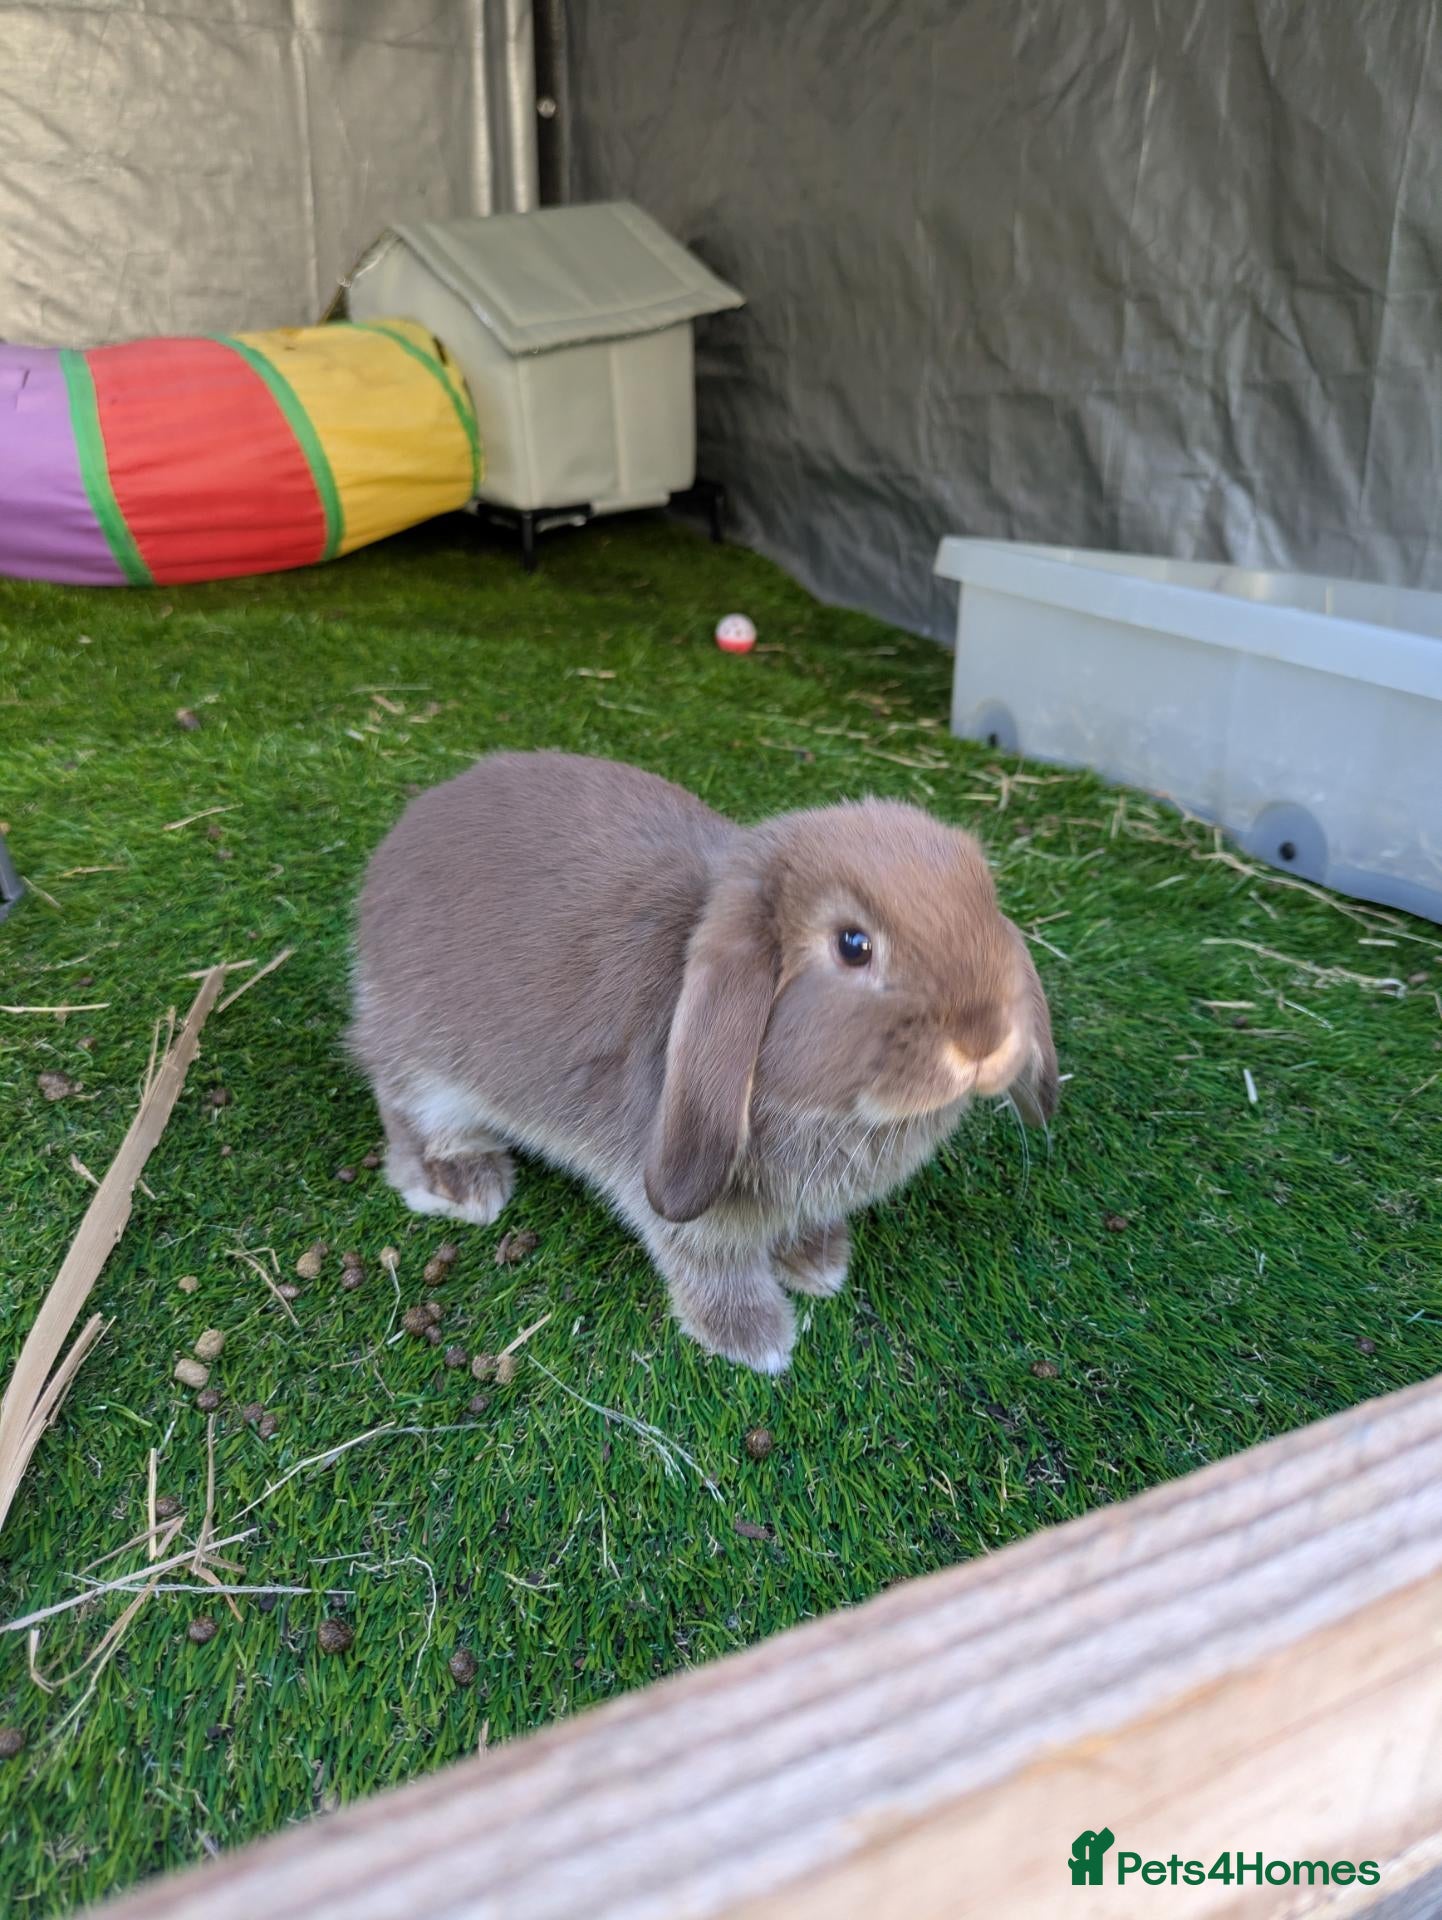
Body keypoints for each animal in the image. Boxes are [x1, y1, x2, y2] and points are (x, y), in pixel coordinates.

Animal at [348, 750, 1057, 1373]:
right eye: (853, 945)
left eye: (988, 904)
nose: (987, 1038)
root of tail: (409, 828)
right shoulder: (681, 1195)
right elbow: (711, 1260)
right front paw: (757, 1340)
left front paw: (820, 1264)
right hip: (427, 1066)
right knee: (406, 1109)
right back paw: (465, 1183)